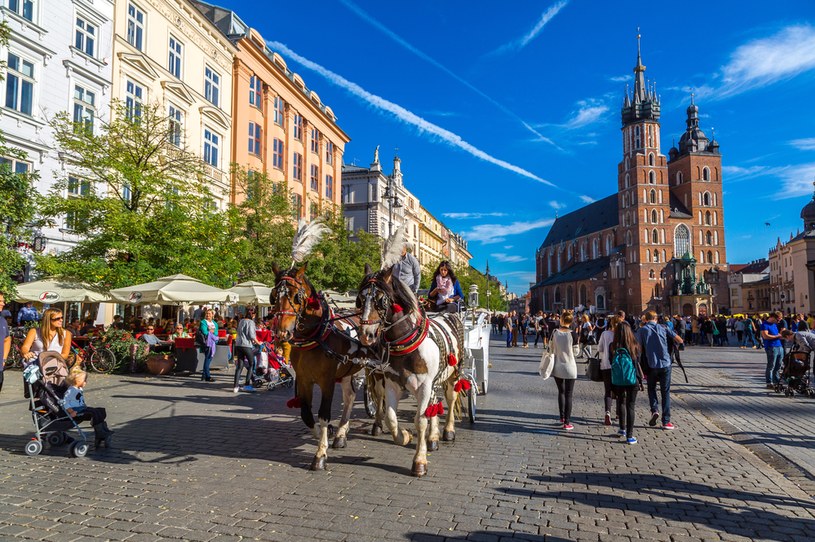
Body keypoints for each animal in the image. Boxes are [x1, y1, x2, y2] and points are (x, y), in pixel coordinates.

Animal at [272, 264, 378, 472]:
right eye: (274, 296)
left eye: (296, 296)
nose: (282, 332)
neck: (316, 336)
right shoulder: (304, 379)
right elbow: (306, 414)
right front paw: (325, 433)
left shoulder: (327, 381)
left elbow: (323, 414)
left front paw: (320, 454)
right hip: (346, 372)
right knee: (350, 397)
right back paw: (341, 434)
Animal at [356, 266, 466, 478]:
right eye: (360, 299)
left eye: (380, 299)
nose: (367, 335)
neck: (405, 343)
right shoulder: (392, 384)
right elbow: (391, 418)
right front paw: (405, 437)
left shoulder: (423, 386)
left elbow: (420, 420)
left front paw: (419, 461)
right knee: (435, 403)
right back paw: (433, 438)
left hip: (453, 374)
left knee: (450, 399)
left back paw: (448, 431)